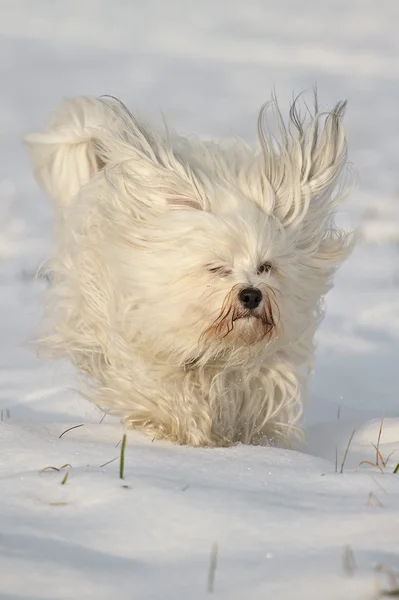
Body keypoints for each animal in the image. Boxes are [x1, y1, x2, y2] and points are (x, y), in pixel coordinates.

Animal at [25, 94, 354, 448]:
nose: (251, 295)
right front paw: (182, 430)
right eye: (217, 267)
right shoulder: (141, 346)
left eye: (265, 267)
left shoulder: (265, 367)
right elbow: (163, 389)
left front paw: (252, 440)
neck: (220, 347)